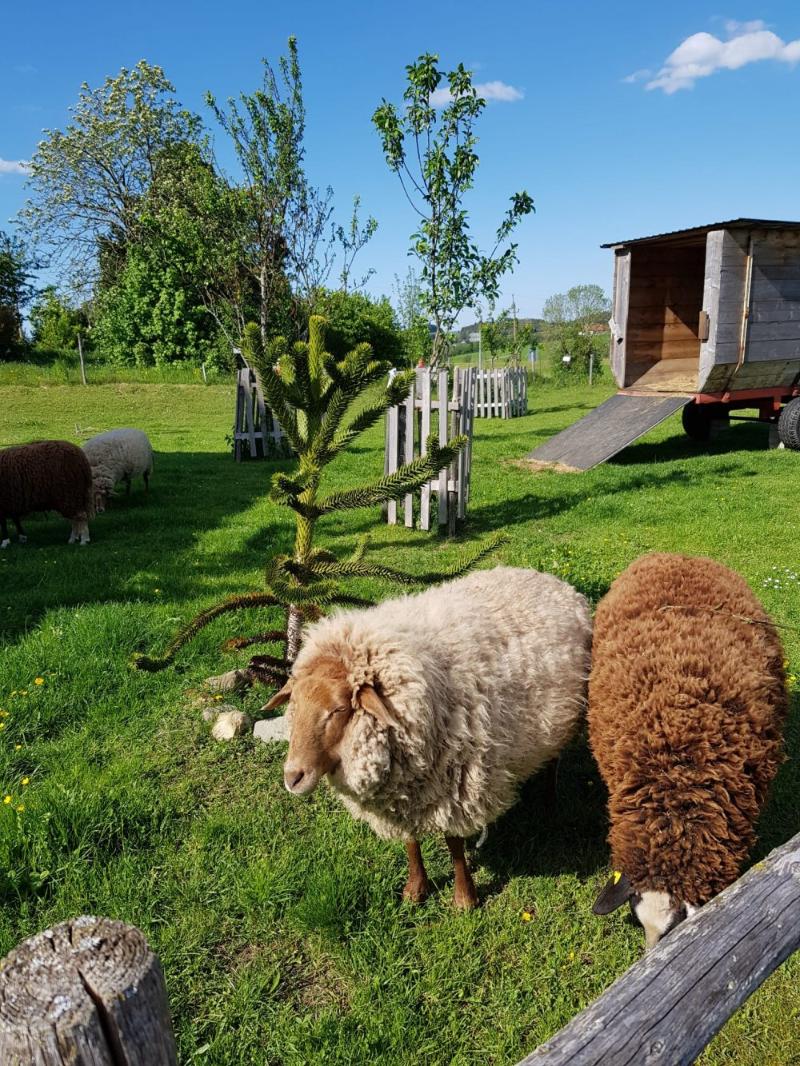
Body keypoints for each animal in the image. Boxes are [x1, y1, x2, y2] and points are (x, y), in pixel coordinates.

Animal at [266, 567, 593, 908]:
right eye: (294, 705)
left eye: (339, 709)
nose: (293, 777)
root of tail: (548, 578)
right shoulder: (404, 791)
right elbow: (411, 842)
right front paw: (415, 889)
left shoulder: (458, 780)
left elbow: (454, 843)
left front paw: (464, 898)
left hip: (561, 718)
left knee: (554, 760)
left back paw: (549, 801)